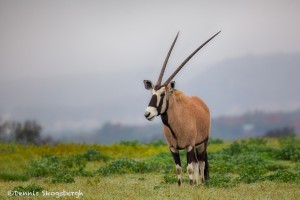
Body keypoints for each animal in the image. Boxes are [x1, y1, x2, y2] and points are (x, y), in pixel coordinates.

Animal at [143, 31, 220, 186]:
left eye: (162, 94)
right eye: (152, 93)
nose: (148, 113)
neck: (175, 124)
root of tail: (201, 103)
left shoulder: (189, 145)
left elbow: (189, 168)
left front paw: (190, 186)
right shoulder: (173, 148)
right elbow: (178, 168)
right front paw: (181, 186)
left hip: (202, 143)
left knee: (201, 162)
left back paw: (202, 183)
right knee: (196, 163)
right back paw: (196, 183)